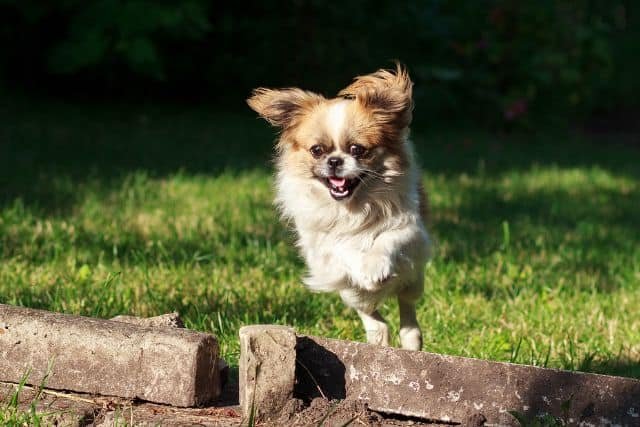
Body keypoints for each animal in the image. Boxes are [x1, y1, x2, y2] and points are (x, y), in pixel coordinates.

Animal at [248, 64, 432, 352]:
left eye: (357, 149)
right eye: (317, 150)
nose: (335, 161)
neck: (351, 208)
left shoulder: (411, 231)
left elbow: (388, 238)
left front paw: (374, 265)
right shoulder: (322, 251)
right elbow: (342, 248)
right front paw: (361, 263)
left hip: (413, 280)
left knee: (407, 310)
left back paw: (410, 340)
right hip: (352, 294)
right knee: (376, 320)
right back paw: (379, 336)